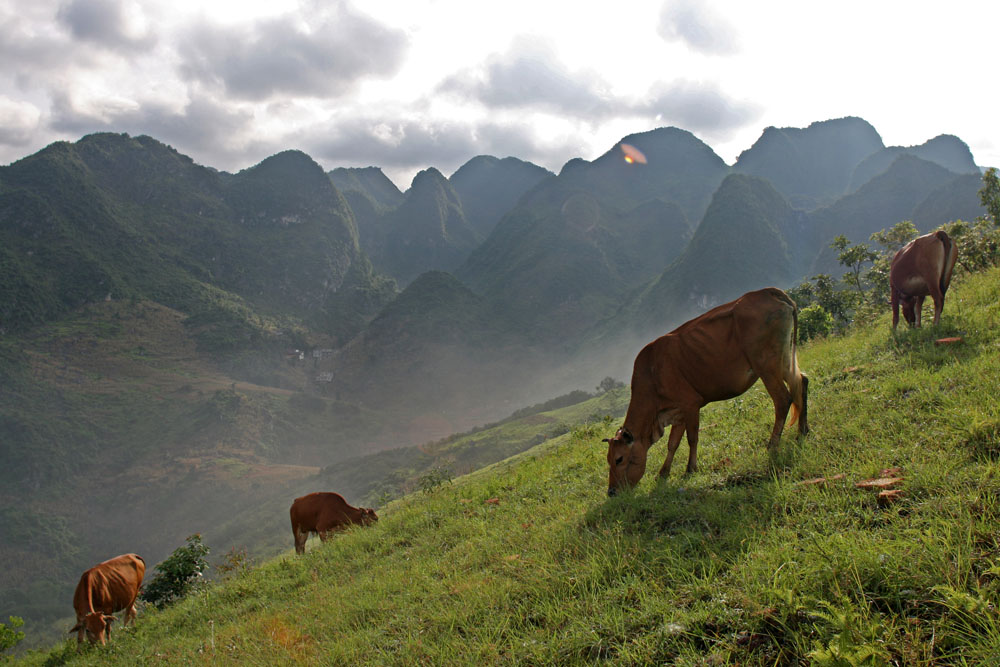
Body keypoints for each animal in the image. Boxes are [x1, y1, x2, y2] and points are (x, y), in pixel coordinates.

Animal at [600, 288, 804, 496]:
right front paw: (663, 473)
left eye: (619, 459)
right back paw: (802, 432)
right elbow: (672, 444)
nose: (611, 492)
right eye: (608, 460)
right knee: (801, 382)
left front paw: (690, 469)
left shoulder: (690, 405)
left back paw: (773, 445)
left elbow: (692, 438)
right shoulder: (678, 412)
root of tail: (768, 292)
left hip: (766, 365)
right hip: (783, 358)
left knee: (783, 399)